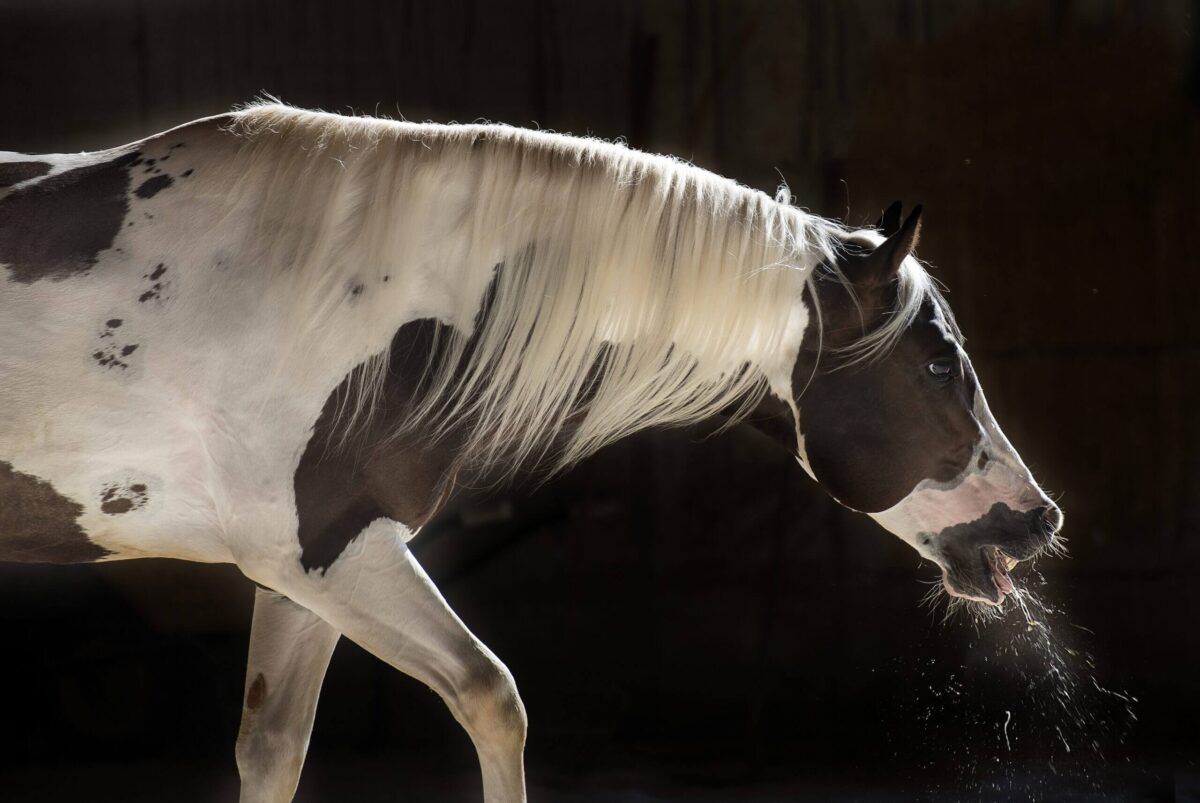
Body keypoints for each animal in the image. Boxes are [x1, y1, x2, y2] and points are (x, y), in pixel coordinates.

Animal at [0, 102, 1063, 802]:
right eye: (937, 362)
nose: (1037, 518)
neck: (334, 292)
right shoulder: (335, 556)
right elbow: (491, 697)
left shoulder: (305, 573)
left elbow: (272, 751)